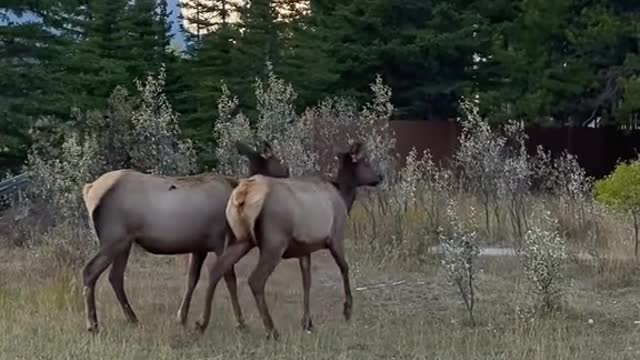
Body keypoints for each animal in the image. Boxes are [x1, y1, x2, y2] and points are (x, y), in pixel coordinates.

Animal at [80, 141, 290, 332]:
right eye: (281, 165)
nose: (289, 180)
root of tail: (89, 189)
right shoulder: (220, 239)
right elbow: (229, 278)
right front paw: (241, 323)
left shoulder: (199, 246)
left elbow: (192, 279)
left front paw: (182, 317)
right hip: (113, 237)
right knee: (90, 270)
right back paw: (92, 324)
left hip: (125, 242)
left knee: (115, 277)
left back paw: (133, 319)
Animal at [192, 142, 382, 338]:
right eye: (366, 162)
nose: (380, 176)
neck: (344, 198)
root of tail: (244, 194)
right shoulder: (335, 235)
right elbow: (344, 268)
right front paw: (347, 310)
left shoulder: (305, 249)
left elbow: (307, 280)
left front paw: (307, 322)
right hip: (274, 241)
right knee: (255, 280)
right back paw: (271, 330)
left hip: (240, 239)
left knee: (217, 269)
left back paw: (201, 324)